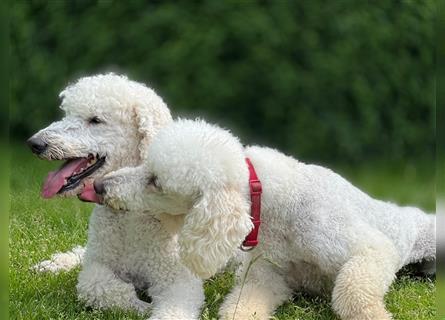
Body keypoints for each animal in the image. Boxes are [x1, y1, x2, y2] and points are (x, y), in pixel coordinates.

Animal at [28, 74, 206, 318]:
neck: (128, 209)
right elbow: (94, 284)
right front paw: (141, 307)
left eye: (95, 120)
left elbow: (173, 307)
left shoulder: (178, 279)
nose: (34, 143)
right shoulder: (97, 265)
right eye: (67, 114)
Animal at [96, 119, 434, 320]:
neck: (278, 207)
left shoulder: (365, 248)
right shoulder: (266, 277)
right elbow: (242, 305)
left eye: (155, 181)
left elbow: (353, 290)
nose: (100, 187)